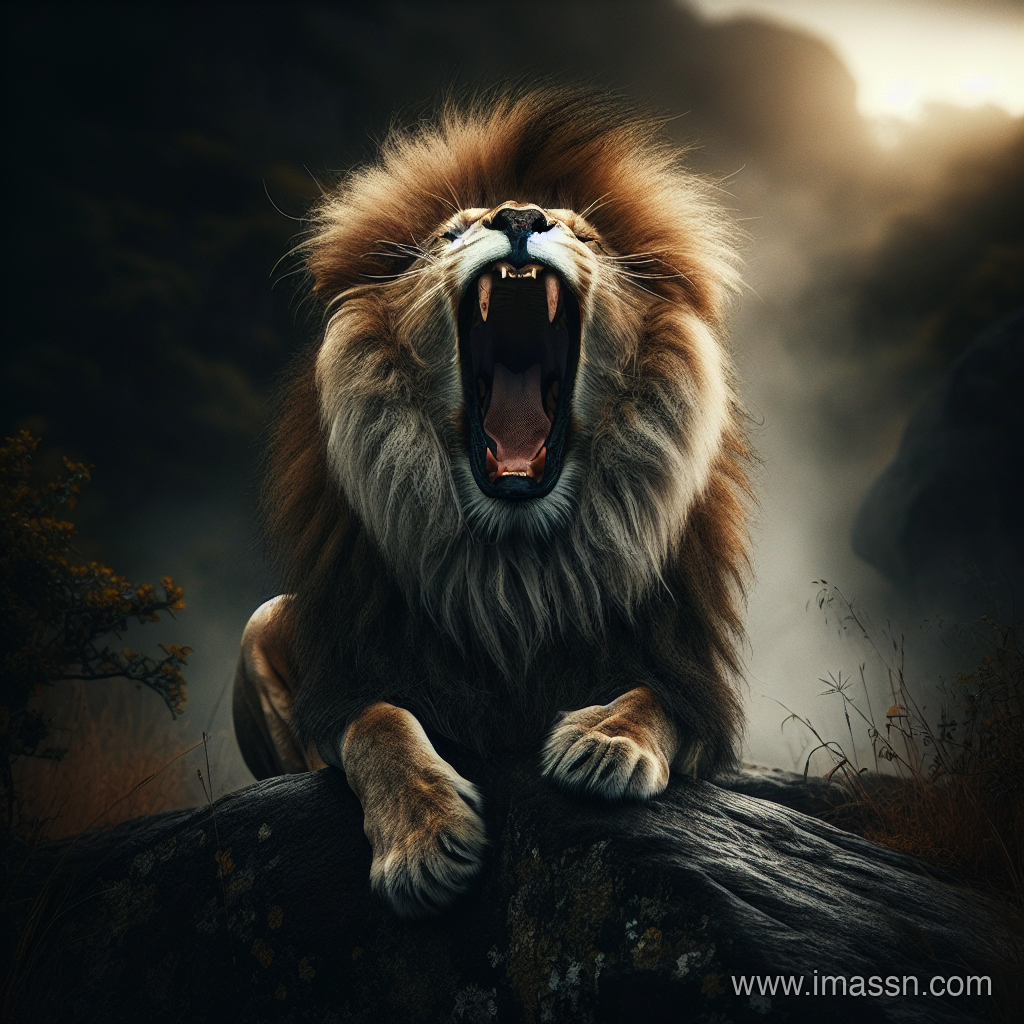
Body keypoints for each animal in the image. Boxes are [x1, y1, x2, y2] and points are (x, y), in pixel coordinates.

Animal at [232, 88, 751, 918]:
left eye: (583, 233)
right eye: (453, 231)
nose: (518, 215)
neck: (515, 562)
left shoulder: (685, 674)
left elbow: (651, 697)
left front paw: (605, 744)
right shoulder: (352, 677)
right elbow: (381, 725)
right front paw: (425, 841)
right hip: (263, 620)